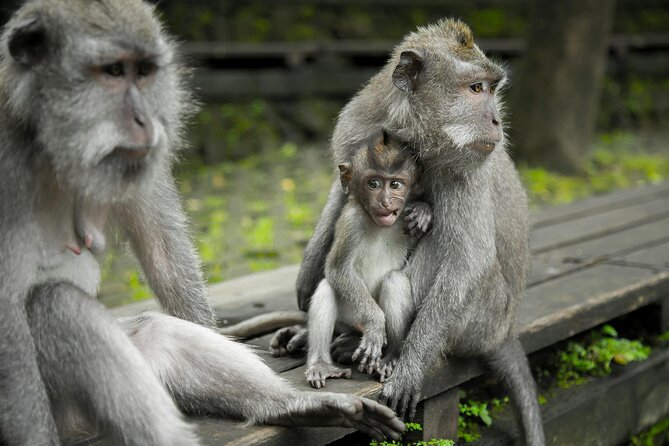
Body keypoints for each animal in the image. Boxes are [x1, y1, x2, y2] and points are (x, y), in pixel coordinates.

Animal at [0, 1, 405, 445]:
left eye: (144, 72)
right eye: (112, 72)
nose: (145, 120)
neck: (45, 138)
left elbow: (165, 260)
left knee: (151, 332)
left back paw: (293, 406)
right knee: (58, 305)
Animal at [306, 130, 432, 389]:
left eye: (395, 184)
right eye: (373, 183)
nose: (385, 202)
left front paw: (424, 211)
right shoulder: (350, 220)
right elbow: (338, 270)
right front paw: (375, 325)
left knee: (394, 280)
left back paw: (392, 356)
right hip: (352, 316)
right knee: (327, 288)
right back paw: (321, 364)